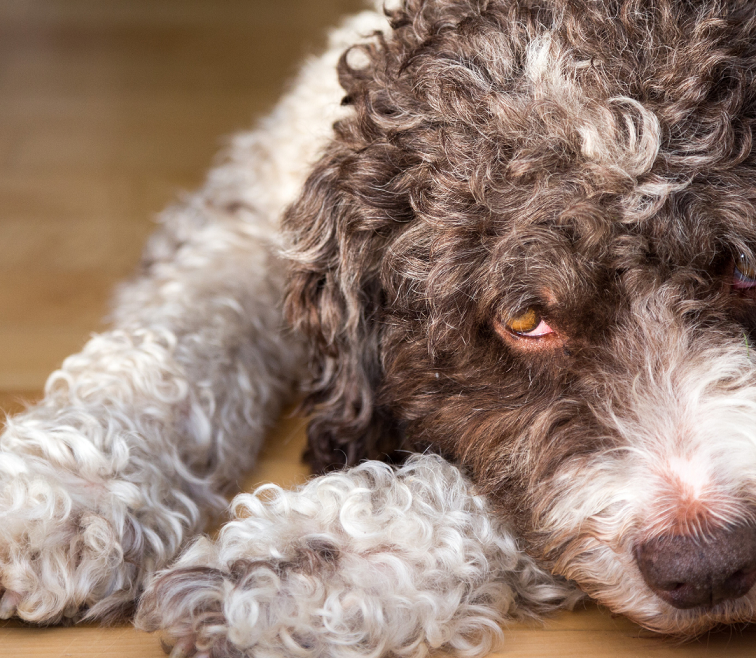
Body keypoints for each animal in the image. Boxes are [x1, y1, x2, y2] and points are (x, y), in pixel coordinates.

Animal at [1, 0, 756, 652]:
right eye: (525, 318)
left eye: (746, 273)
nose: (710, 561)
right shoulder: (249, 214)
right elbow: (178, 329)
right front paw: (59, 491)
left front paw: (300, 565)